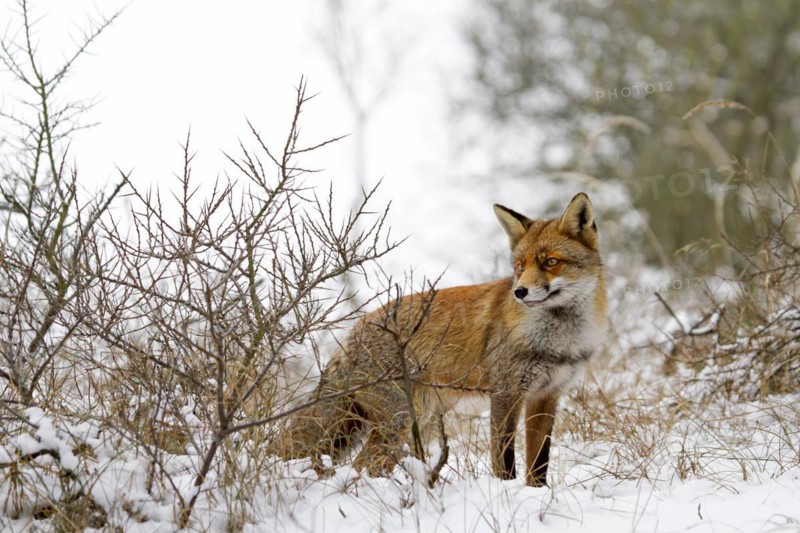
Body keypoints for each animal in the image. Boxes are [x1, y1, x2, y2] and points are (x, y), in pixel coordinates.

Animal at [277, 192, 607, 486]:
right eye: (520, 266)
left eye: (550, 262)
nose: (520, 292)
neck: (557, 341)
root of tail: (353, 333)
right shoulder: (506, 392)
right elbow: (505, 460)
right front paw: (506, 492)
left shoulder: (546, 395)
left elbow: (539, 464)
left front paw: (535, 495)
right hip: (402, 418)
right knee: (365, 463)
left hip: (412, 419)